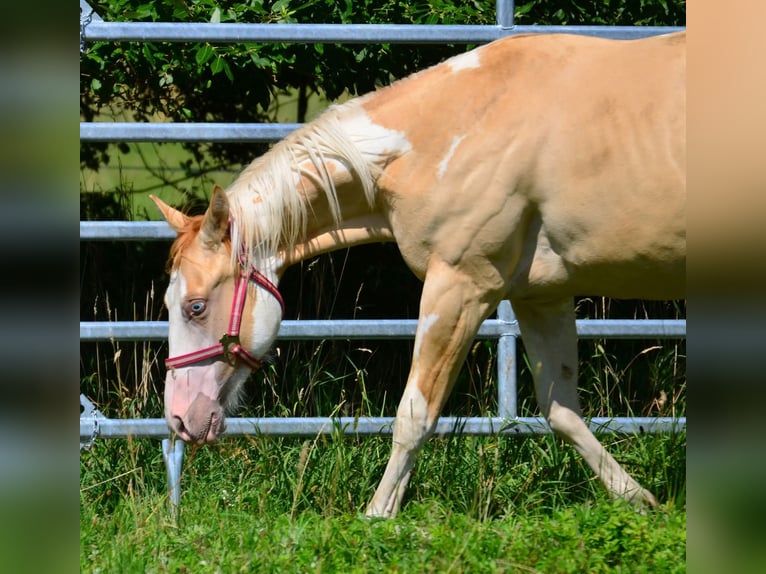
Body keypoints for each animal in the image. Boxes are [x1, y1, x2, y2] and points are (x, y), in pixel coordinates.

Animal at [151, 31, 685, 518]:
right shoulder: (541, 297)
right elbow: (561, 409)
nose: (178, 418)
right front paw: (640, 500)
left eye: (195, 306)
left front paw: (378, 516)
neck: (454, 131)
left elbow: (414, 414)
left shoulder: (460, 288)